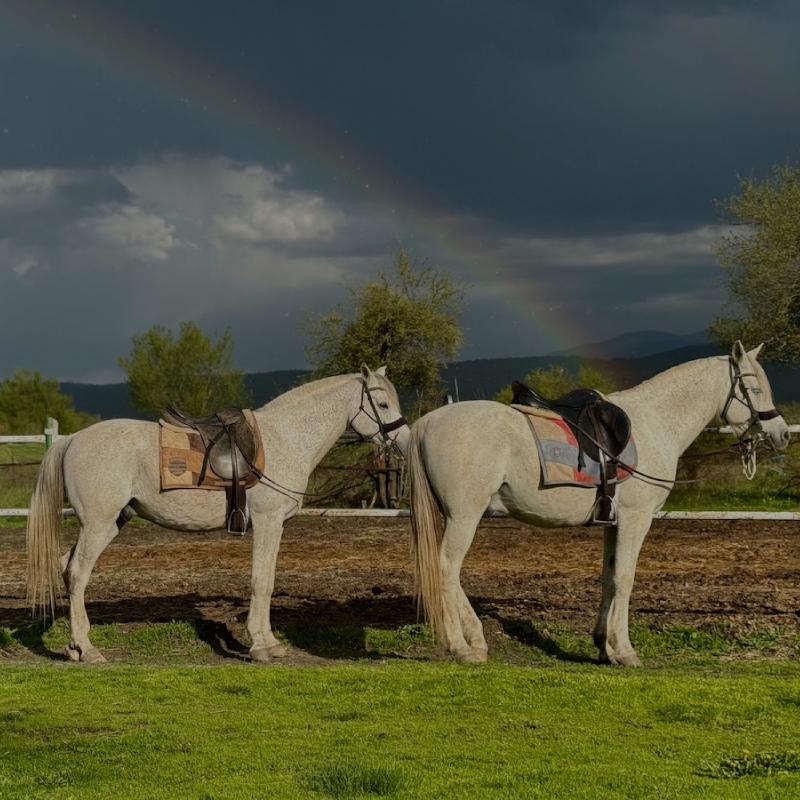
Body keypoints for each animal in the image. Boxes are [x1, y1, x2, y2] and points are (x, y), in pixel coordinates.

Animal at [27, 365, 409, 664]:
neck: (286, 439)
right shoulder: (268, 522)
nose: (404, 441)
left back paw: (74, 647)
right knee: (78, 574)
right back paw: (88, 649)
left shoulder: (276, 526)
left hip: (111, 523)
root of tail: (72, 440)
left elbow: (267, 581)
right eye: (383, 403)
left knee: (66, 567)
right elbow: (261, 582)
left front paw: (269, 642)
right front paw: (261, 646)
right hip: (98, 523)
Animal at [408, 343, 790, 666]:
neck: (655, 424)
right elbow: (625, 579)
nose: (783, 434)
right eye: (754, 389)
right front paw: (625, 651)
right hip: (464, 516)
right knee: (446, 568)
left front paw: (604, 645)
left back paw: (475, 639)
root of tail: (427, 421)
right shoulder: (636, 520)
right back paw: (460, 646)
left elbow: (609, 578)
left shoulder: (614, 523)